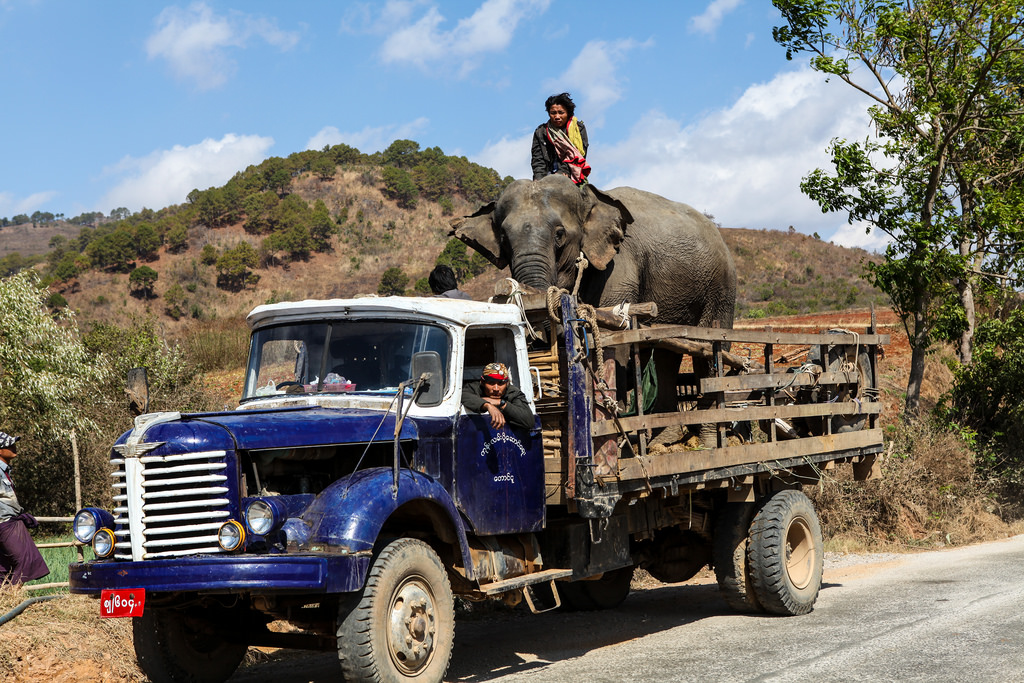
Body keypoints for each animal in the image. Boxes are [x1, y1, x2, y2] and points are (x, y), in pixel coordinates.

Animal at [454, 172, 737, 444]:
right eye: (504, 239)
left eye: (559, 234)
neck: (587, 197)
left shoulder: (619, 263)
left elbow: (614, 336)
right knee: (665, 352)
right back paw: (663, 440)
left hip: (720, 288)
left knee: (708, 349)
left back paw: (708, 440)